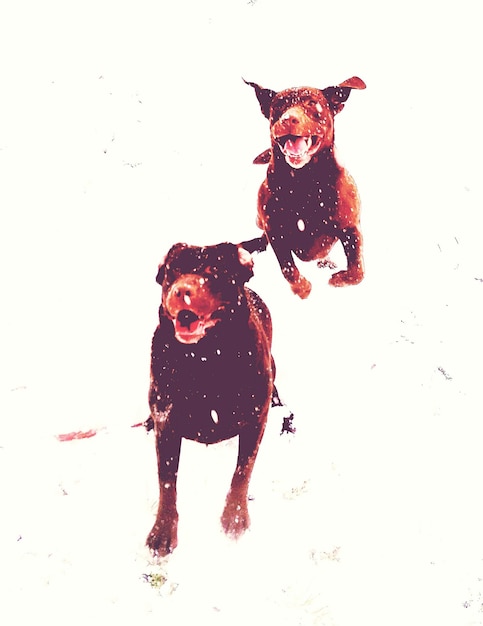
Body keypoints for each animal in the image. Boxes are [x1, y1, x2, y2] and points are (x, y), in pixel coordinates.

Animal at [147, 240, 276, 556]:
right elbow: (167, 481)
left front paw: (235, 516)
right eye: (173, 271)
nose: (181, 290)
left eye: (213, 272)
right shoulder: (166, 422)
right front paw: (163, 530)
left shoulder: (256, 419)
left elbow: (242, 471)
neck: (204, 360)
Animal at [246, 76, 366, 298]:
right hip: (259, 220)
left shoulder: (351, 227)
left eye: (311, 103)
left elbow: (357, 271)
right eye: (279, 105)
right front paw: (303, 290)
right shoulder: (275, 231)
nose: (288, 119)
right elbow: (288, 269)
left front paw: (337, 280)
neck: (304, 183)